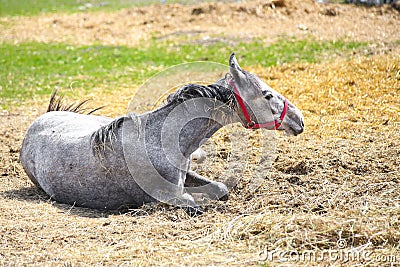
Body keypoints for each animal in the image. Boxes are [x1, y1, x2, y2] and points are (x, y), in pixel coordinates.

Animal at [19, 54, 304, 216]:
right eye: (267, 95)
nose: (299, 120)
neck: (158, 139)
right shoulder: (169, 196)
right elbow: (195, 205)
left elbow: (220, 188)